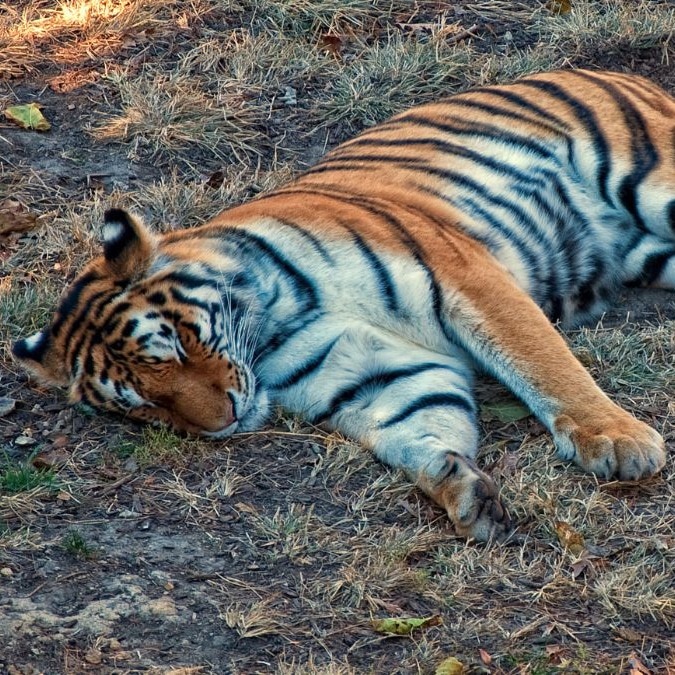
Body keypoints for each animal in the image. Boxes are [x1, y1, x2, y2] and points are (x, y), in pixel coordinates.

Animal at [13, 69, 674, 541]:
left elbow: (543, 363)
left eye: (172, 345)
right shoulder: (373, 374)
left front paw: (617, 441)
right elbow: (415, 429)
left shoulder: (465, 275)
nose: (222, 422)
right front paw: (459, 487)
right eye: (141, 406)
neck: (272, 329)